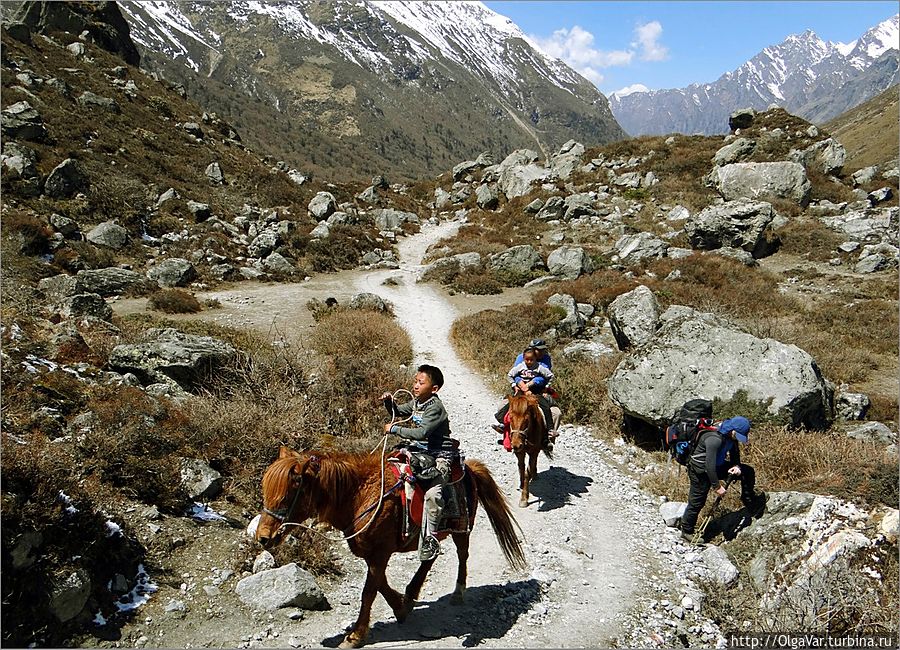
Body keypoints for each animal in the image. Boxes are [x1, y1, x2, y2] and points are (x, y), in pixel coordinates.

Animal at [255, 442, 528, 644]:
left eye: (289, 493)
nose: (263, 537)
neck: (359, 496)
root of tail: (469, 469)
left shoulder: (380, 553)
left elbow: (369, 591)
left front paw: (355, 636)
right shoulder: (372, 553)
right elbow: (381, 585)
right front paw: (401, 606)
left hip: (462, 529)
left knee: (463, 555)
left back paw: (458, 592)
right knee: (430, 557)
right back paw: (412, 591)